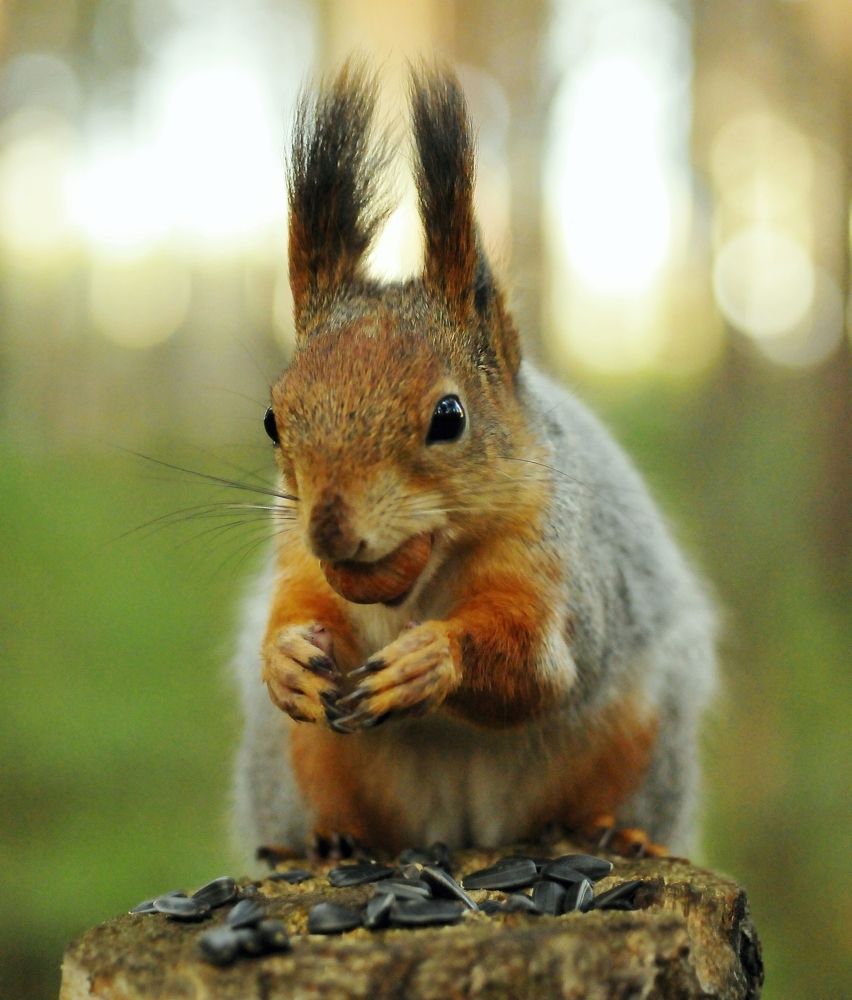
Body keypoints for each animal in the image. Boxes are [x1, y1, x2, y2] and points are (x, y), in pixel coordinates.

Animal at [231, 63, 716, 860]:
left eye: (449, 417)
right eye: (274, 420)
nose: (331, 530)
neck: (415, 581)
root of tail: (466, 832)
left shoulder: (553, 565)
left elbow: (538, 667)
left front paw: (431, 661)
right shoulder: (295, 558)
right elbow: (297, 609)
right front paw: (287, 661)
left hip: (645, 737)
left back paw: (615, 834)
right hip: (301, 760)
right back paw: (328, 841)